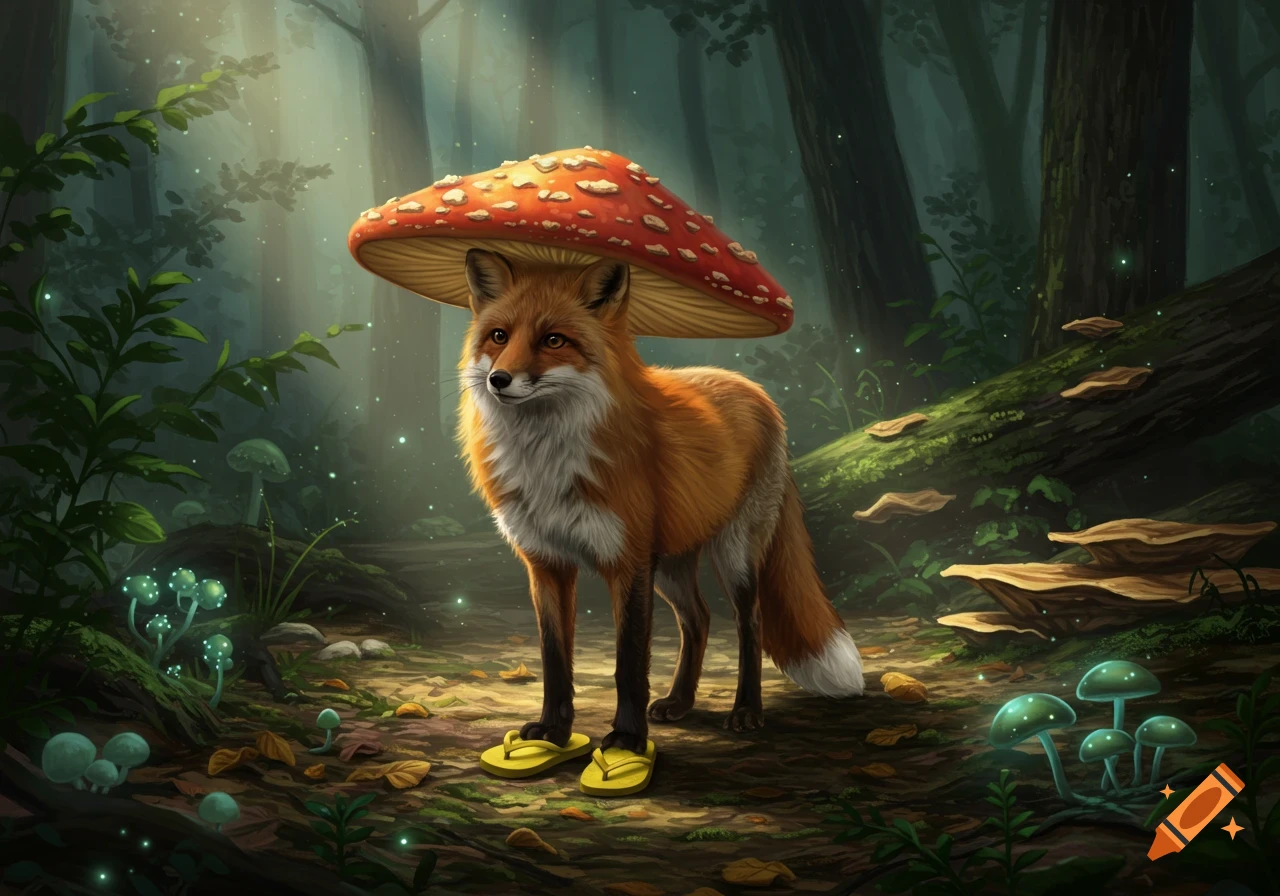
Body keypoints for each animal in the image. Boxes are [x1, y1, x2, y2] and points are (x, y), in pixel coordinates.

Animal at [457, 248, 864, 755]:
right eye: (499, 336)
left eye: (553, 340)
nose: (499, 379)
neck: (547, 463)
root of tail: (756, 391)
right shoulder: (547, 563)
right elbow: (555, 660)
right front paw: (554, 731)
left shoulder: (629, 562)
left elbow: (628, 663)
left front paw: (628, 739)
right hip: (671, 564)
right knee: (699, 619)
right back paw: (680, 702)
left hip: (733, 554)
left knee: (749, 622)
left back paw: (746, 710)